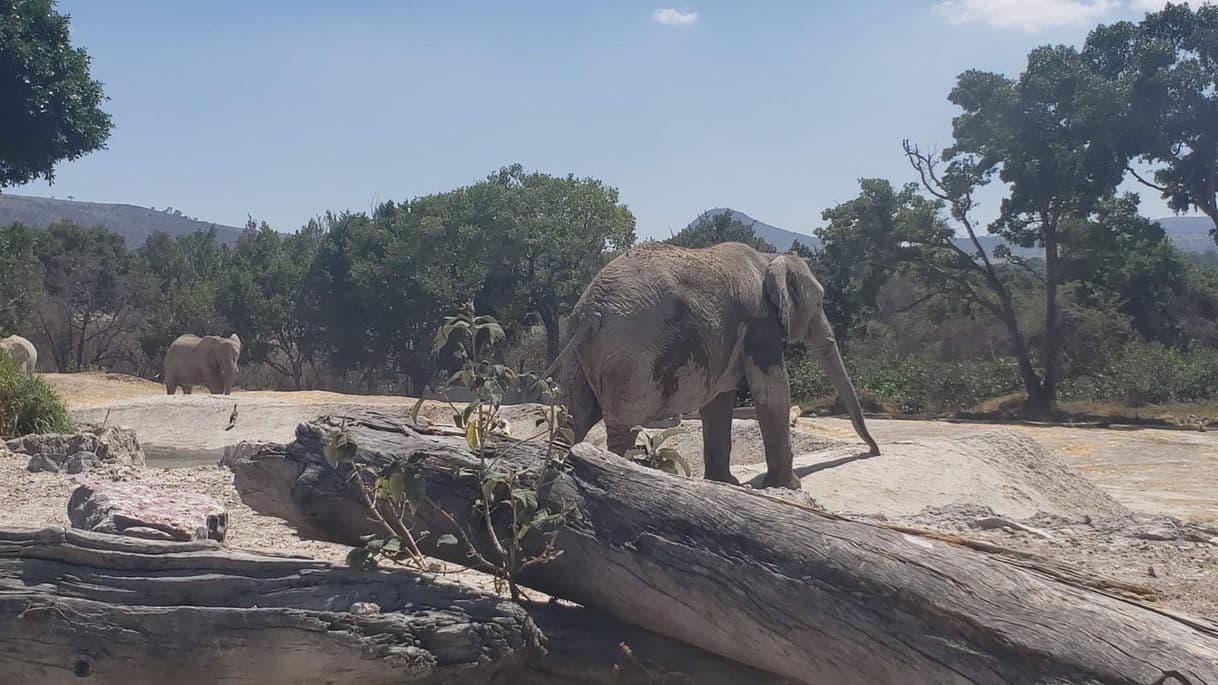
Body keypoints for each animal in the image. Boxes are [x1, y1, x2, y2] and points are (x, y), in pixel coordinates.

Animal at [548, 242, 881, 487]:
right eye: (820, 302)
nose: (873, 451)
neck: (769, 258)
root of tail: (592, 311)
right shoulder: (761, 322)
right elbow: (772, 390)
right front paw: (788, 487)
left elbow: (718, 401)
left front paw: (725, 484)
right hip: (631, 354)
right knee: (623, 426)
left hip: (580, 350)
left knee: (572, 416)